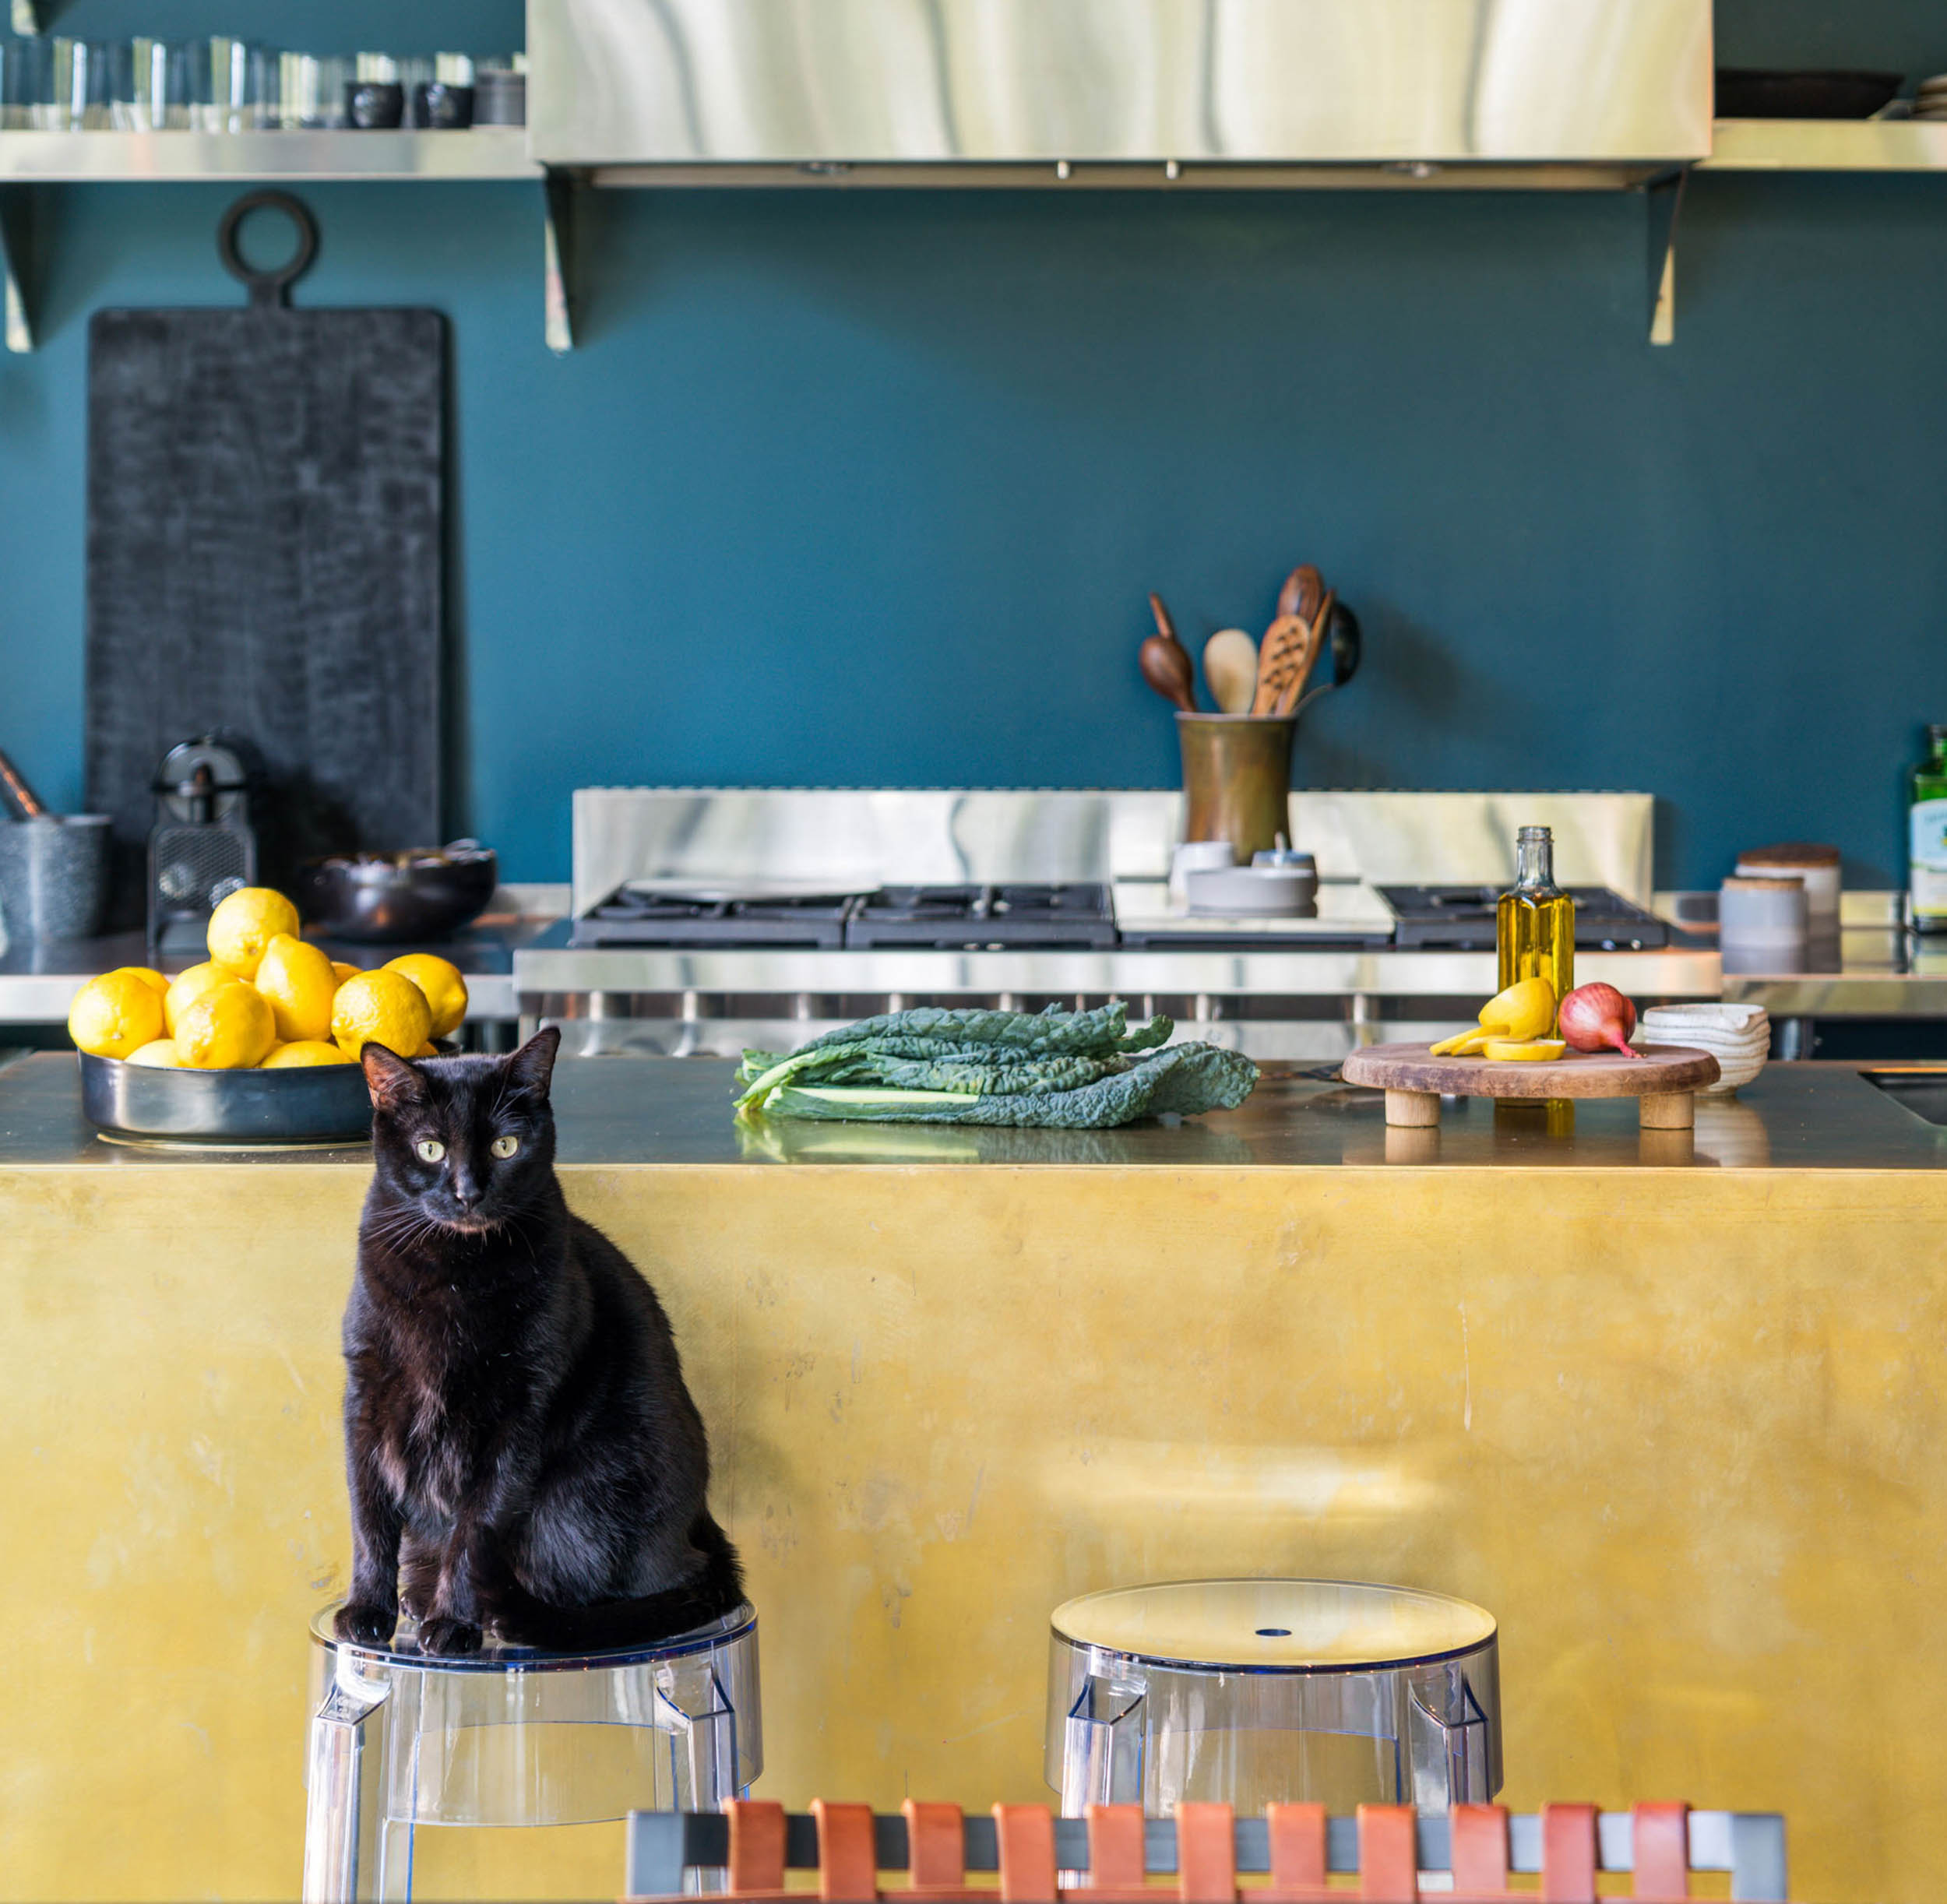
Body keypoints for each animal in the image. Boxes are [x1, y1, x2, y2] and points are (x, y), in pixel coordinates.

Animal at [336, 1028, 744, 1651]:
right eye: (431, 1149)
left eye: (506, 1146)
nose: (468, 1192)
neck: (454, 1272)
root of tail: (701, 1521)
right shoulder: (366, 1397)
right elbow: (368, 1519)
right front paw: (366, 1608)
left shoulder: (520, 1413)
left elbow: (475, 1529)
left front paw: (454, 1622)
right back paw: (416, 1595)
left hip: (588, 1496)